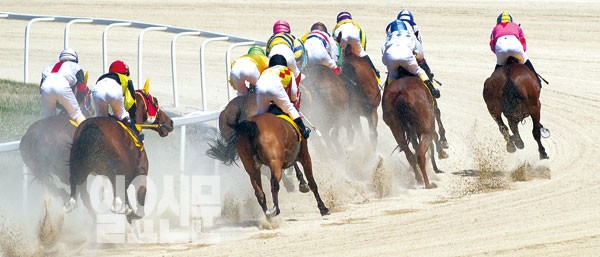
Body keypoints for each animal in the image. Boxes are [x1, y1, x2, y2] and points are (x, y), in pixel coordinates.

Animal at [63, 85, 173, 220]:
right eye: (155, 101)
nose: (170, 122)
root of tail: (92, 128)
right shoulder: (140, 175)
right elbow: (138, 210)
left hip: (79, 167)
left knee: (74, 192)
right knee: (117, 203)